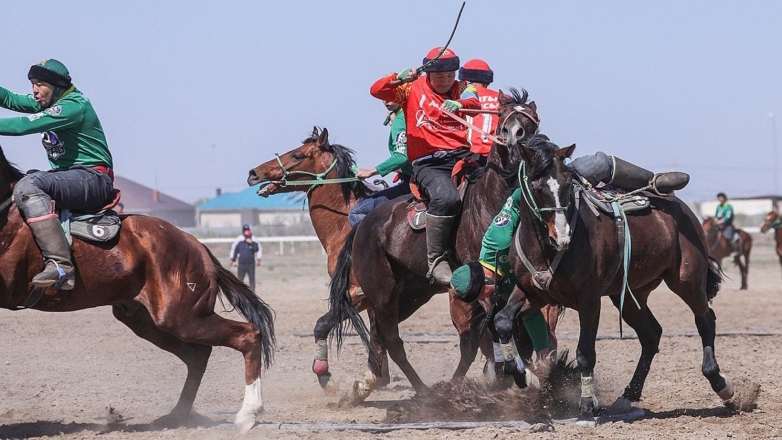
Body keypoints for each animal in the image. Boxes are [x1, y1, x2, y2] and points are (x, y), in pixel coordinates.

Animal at [0, 145, 276, 434]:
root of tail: (196, 245)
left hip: (182, 317)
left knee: (247, 335)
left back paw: (247, 414)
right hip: (145, 320)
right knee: (198, 355)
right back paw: (177, 416)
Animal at [245, 127, 500, 392]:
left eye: (297, 155)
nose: (254, 173)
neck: (345, 225)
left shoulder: (360, 294)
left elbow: (327, 325)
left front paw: (327, 373)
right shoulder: (377, 299)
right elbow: (377, 336)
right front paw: (377, 376)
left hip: (458, 302)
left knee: (475, 342)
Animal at [330, 88, 544, 402]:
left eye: (531, 121)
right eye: (503, 118)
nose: (514, 136)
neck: (491, 200)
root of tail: (362, 226)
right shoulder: (484, 283)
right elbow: (491, 328)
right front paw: (514, 374)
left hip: (410, 293)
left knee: (381, 337)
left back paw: (367, 386)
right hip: (383, 293)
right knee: (392, 340)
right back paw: (422, 391)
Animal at [490, 138, 740, 426]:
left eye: (566, 184)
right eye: (536, 186)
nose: (562, 236)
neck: (546, 249)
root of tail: (682, 208)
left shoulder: (588, 301)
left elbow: (585, 353)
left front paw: (586, 409)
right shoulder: (532, 293)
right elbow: (502, 321)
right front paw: (525, 377)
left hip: (687, 281)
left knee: (705, 320)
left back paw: (721, 383)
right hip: (631, 295)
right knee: (651, 334)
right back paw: (629, 394)